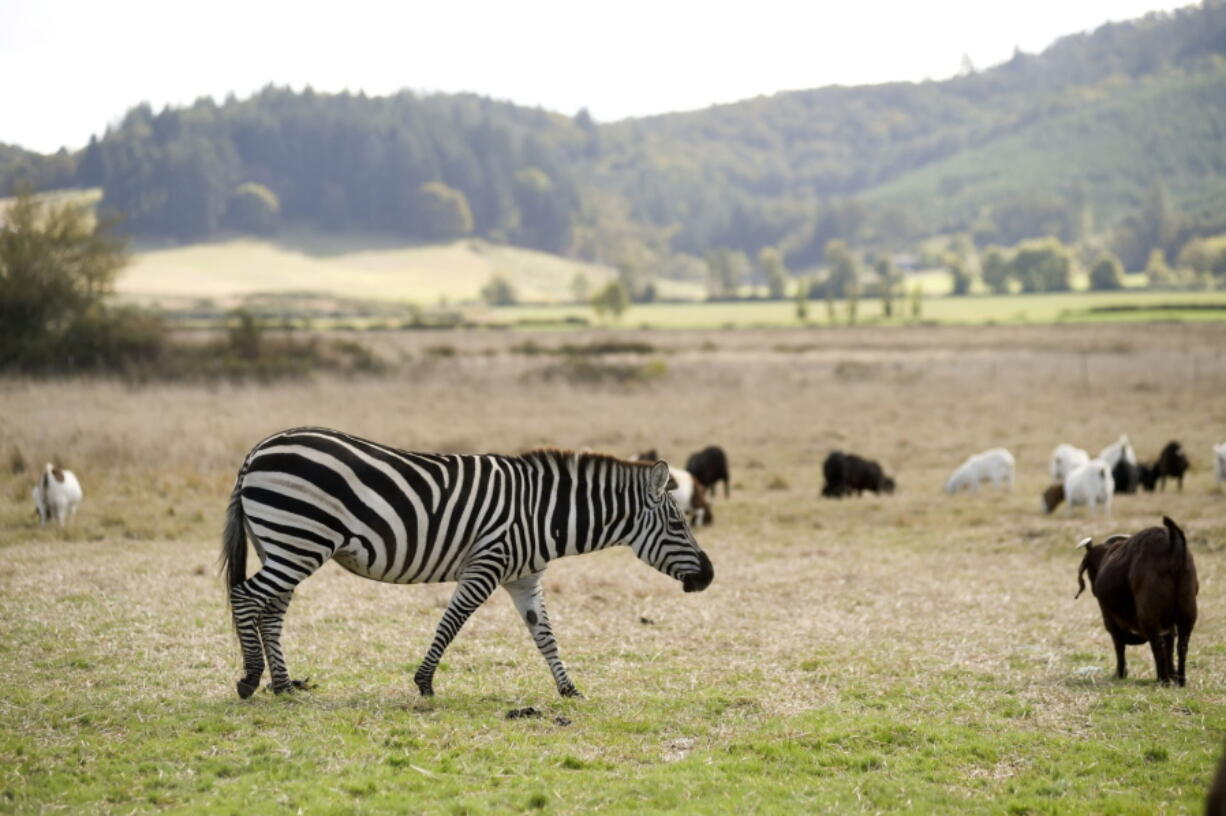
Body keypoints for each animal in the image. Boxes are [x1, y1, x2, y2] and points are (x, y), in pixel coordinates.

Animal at [225, 421, 715, 695]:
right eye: (678, 524)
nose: (709, 576)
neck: (543, 514)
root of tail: (258, 449)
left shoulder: (524, 577)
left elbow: (545, 635)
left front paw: (568, 689)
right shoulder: (487, 563)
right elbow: (453, 621)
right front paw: (424, 682)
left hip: (285, 544)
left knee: (272, 610)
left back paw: (283, 685)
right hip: (299, 541)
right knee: (245, 596)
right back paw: (250, 679)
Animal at [1073, 517, 1196, 681]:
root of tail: (1172, 544)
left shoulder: (1110, 620)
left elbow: (1119, 645)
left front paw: (1120, 673)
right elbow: (1170, 644)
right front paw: (1172, 674)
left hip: (1149, 614)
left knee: (1157, 644)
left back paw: (1163, 680)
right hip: (1187, 611)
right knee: (1181, 645)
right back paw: (1180, 680)